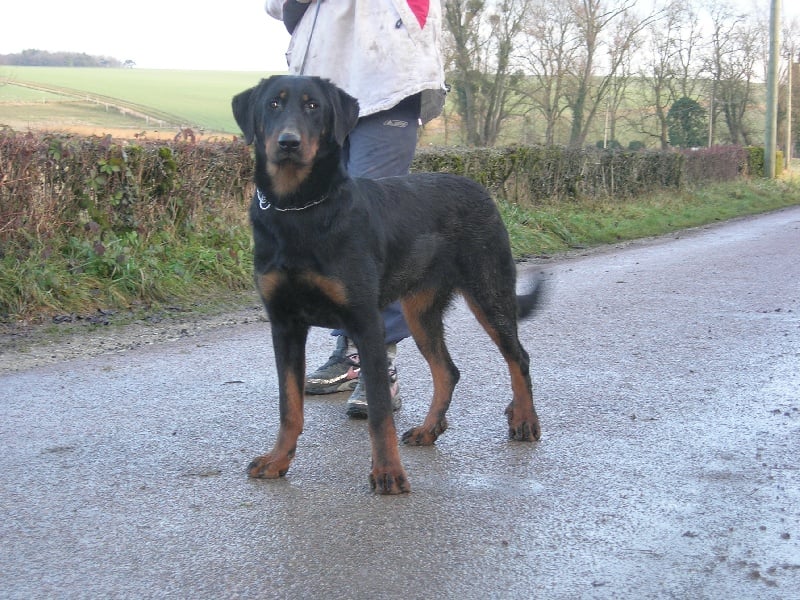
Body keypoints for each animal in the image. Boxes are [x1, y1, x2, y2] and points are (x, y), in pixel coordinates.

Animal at [231, 75, 544, 494]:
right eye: (273, 105)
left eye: (314, 106)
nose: (288, 142)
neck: (299, 209)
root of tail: (480, 189)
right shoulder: (285, 325)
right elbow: (289, 405)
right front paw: (278, 460)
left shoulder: (366, 322)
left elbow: (380, 411)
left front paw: (388, 473)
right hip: (421, 311)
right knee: (448, 371)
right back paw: (429, 430)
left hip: (489, 292)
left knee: (518, 357)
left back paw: (525, 419)